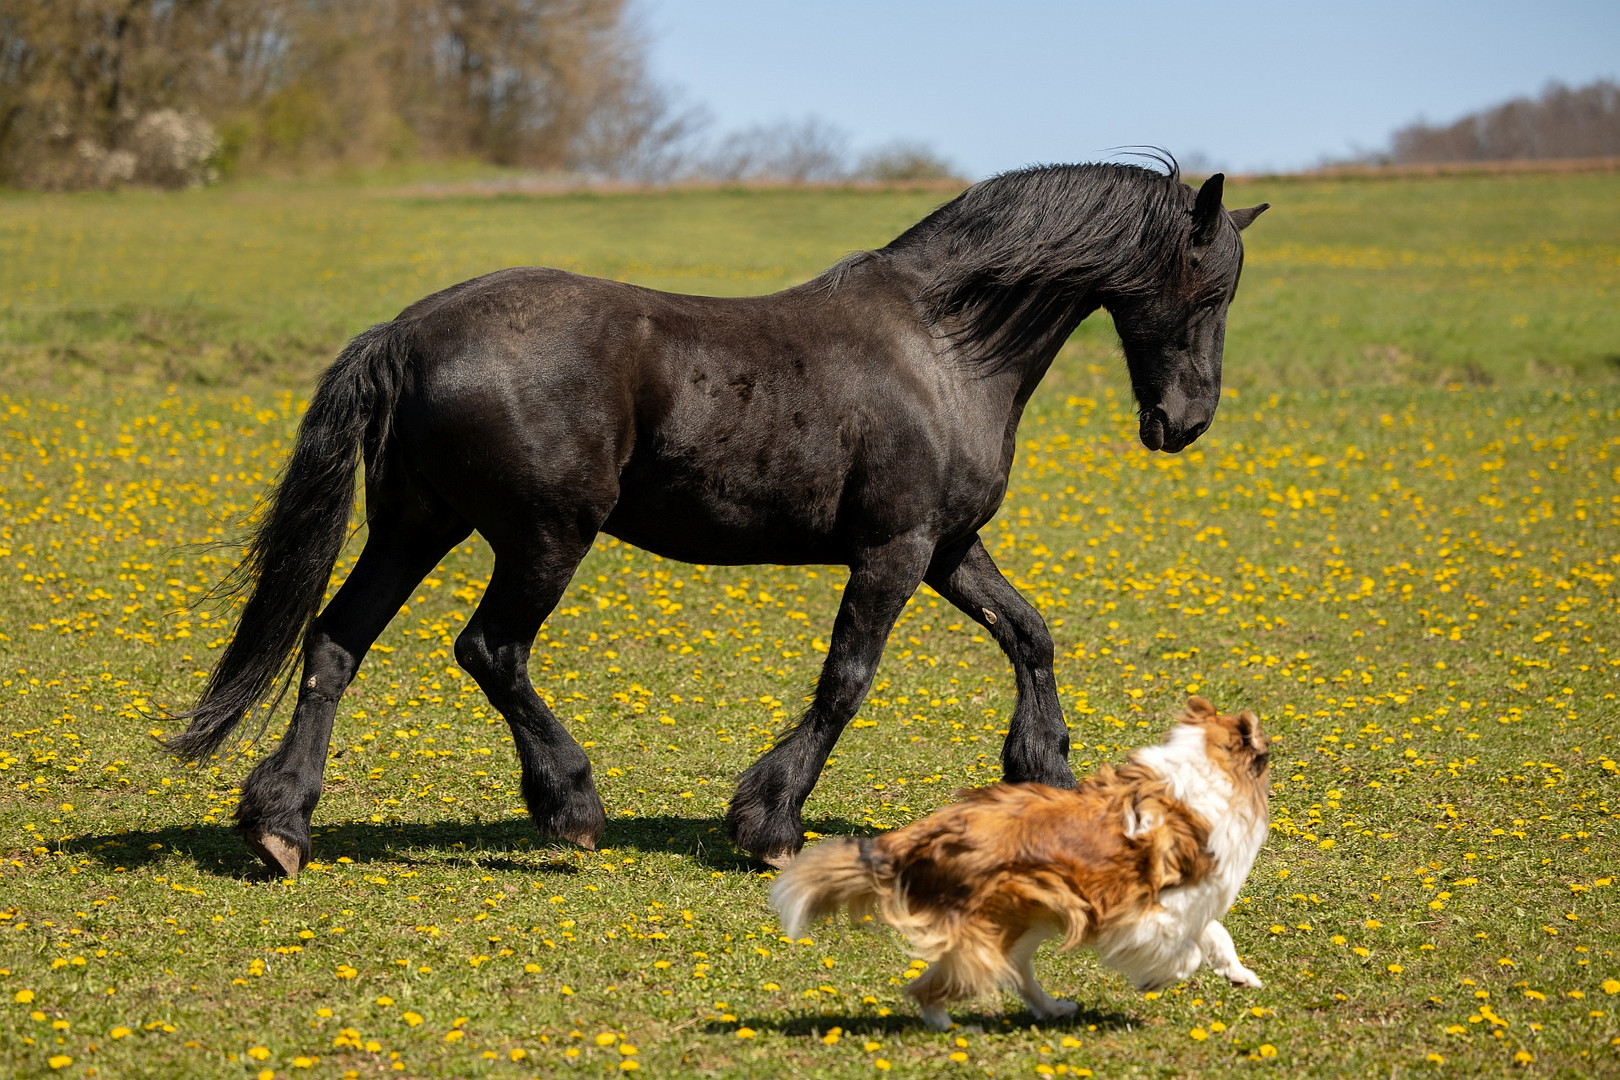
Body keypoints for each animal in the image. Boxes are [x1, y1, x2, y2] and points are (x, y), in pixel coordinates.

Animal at [167, 162, 1263, 880]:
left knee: (334, 643)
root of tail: (404, 333)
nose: (1185, 423)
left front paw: (1043, 773)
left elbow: (1030, 633)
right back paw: (570, 808)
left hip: (414, 525)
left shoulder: (950, 548)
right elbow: (846, 681)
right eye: (1208, 284)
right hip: (543, 537)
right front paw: (768, 822)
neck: (944, 348)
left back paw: (280, 826)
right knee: (489, 649)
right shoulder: (895, 550)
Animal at [767, 702, 1263, 1029]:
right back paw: (952, 1029)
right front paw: (1160, 977)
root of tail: (917, 837)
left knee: (1015, 974)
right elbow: (1188, 949)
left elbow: (1215, 935)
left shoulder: (1189, 900)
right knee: (929, 988)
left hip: (1025, 917)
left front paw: (1239, 975)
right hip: (992, 929)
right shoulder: (1143, 906)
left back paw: (1051, 1008)